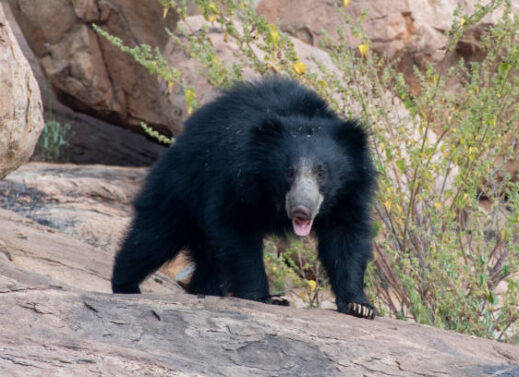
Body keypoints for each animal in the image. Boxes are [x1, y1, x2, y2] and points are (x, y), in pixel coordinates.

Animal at [111, 78, 376, 318]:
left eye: (322, 172)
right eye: (289, 172)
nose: (302, 210)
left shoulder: (350, 193)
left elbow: (344, 239)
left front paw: (359, 306)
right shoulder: (236, 179)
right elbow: (238, 231)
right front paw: (265, 297)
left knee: (208, 261)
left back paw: (203, 291)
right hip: (181, 185)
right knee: (153, 237)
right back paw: (126, 286)